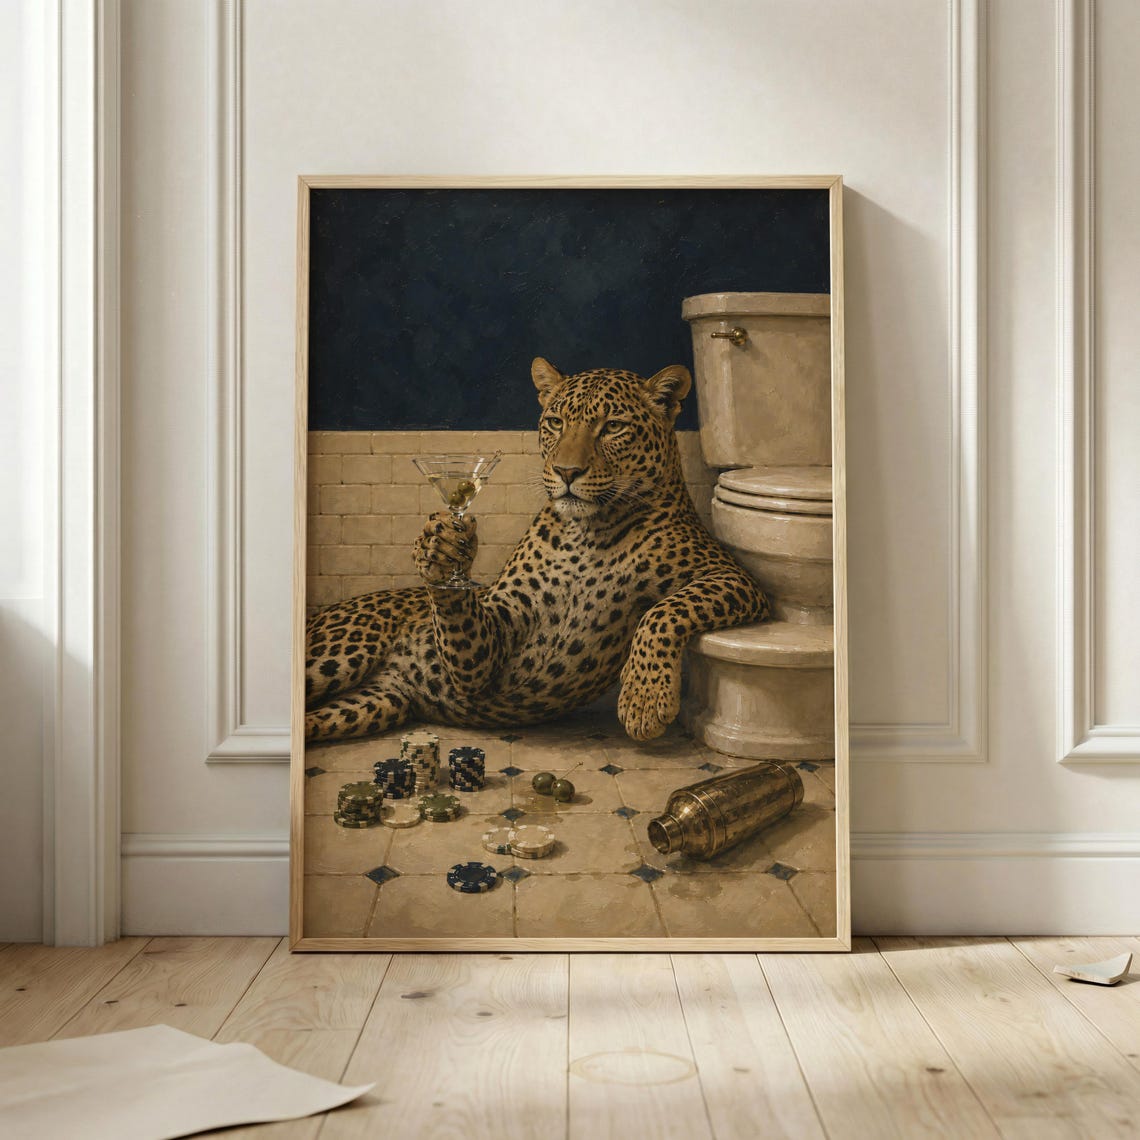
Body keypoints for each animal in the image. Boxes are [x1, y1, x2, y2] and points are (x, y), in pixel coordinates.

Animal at [304, 357, 769, 744]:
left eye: (613, 427)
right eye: (556, 422)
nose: (566, 471)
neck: (589, 533)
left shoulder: (733, 577)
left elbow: (664, 611)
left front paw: (644, 698)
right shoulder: (494, 639)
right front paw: (439, 548)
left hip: (372, 704)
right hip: (336, 653)